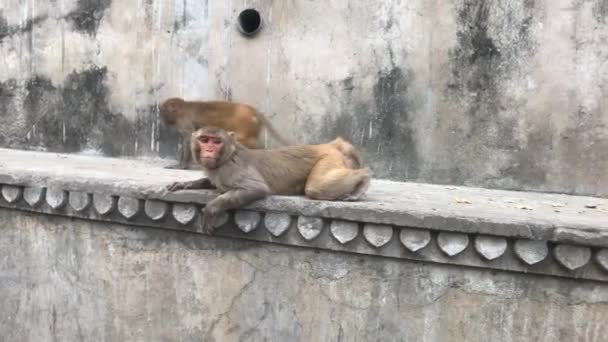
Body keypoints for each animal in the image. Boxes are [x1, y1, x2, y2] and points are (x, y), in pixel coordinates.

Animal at [167, 125, 376, 235]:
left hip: (328, 158)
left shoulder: (231, 169)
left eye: (216, 141)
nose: (209, 150)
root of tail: (329, 145)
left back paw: (364, 178)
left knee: (316, 188)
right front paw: (185, 184)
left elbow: (257, 189)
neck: (227, 156)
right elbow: (211, 182)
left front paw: (211, 209)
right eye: (204, 139)